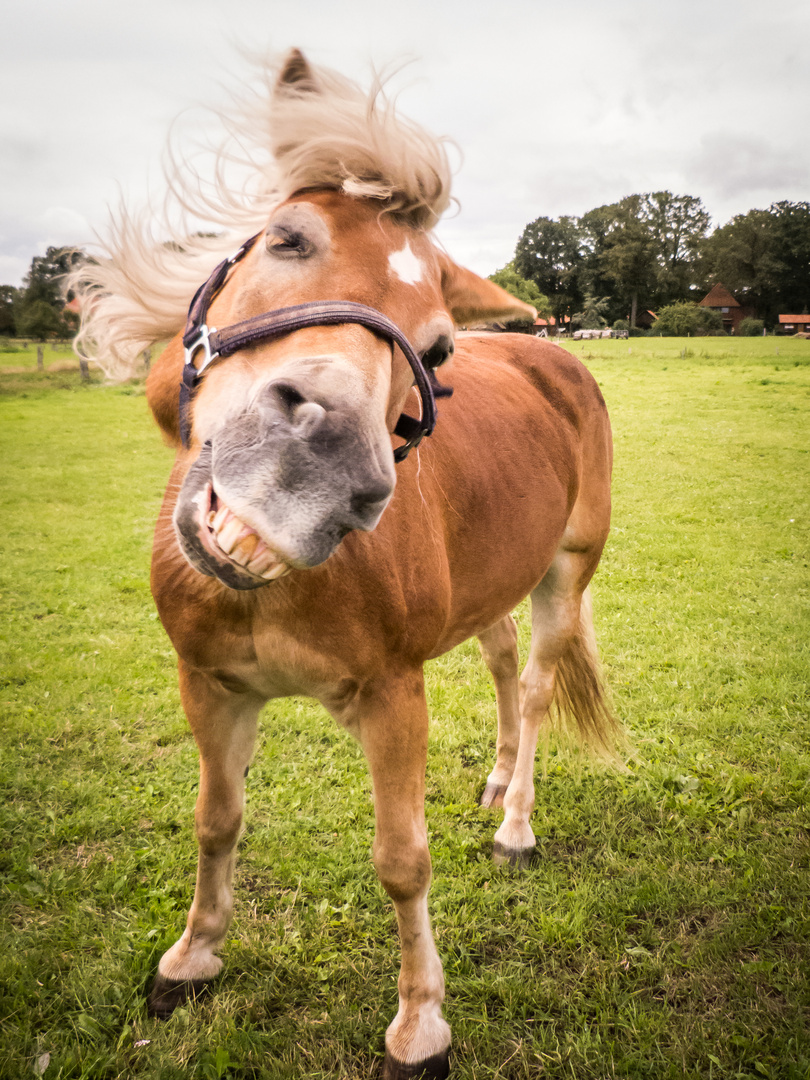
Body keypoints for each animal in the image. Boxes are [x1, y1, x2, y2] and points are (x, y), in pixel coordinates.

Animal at [76, 50, 617, 1080]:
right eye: (288, 238)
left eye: (436, 345)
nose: (312, 465)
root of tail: (554, 357)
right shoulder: (208, 684)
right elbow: (216, 820)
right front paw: (192, 956)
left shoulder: (392, 693)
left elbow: (402, 861)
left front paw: (420, 1024)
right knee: (499, 663)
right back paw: (496, 781)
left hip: (567, 571)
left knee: (532, 687)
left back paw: (515, 821)